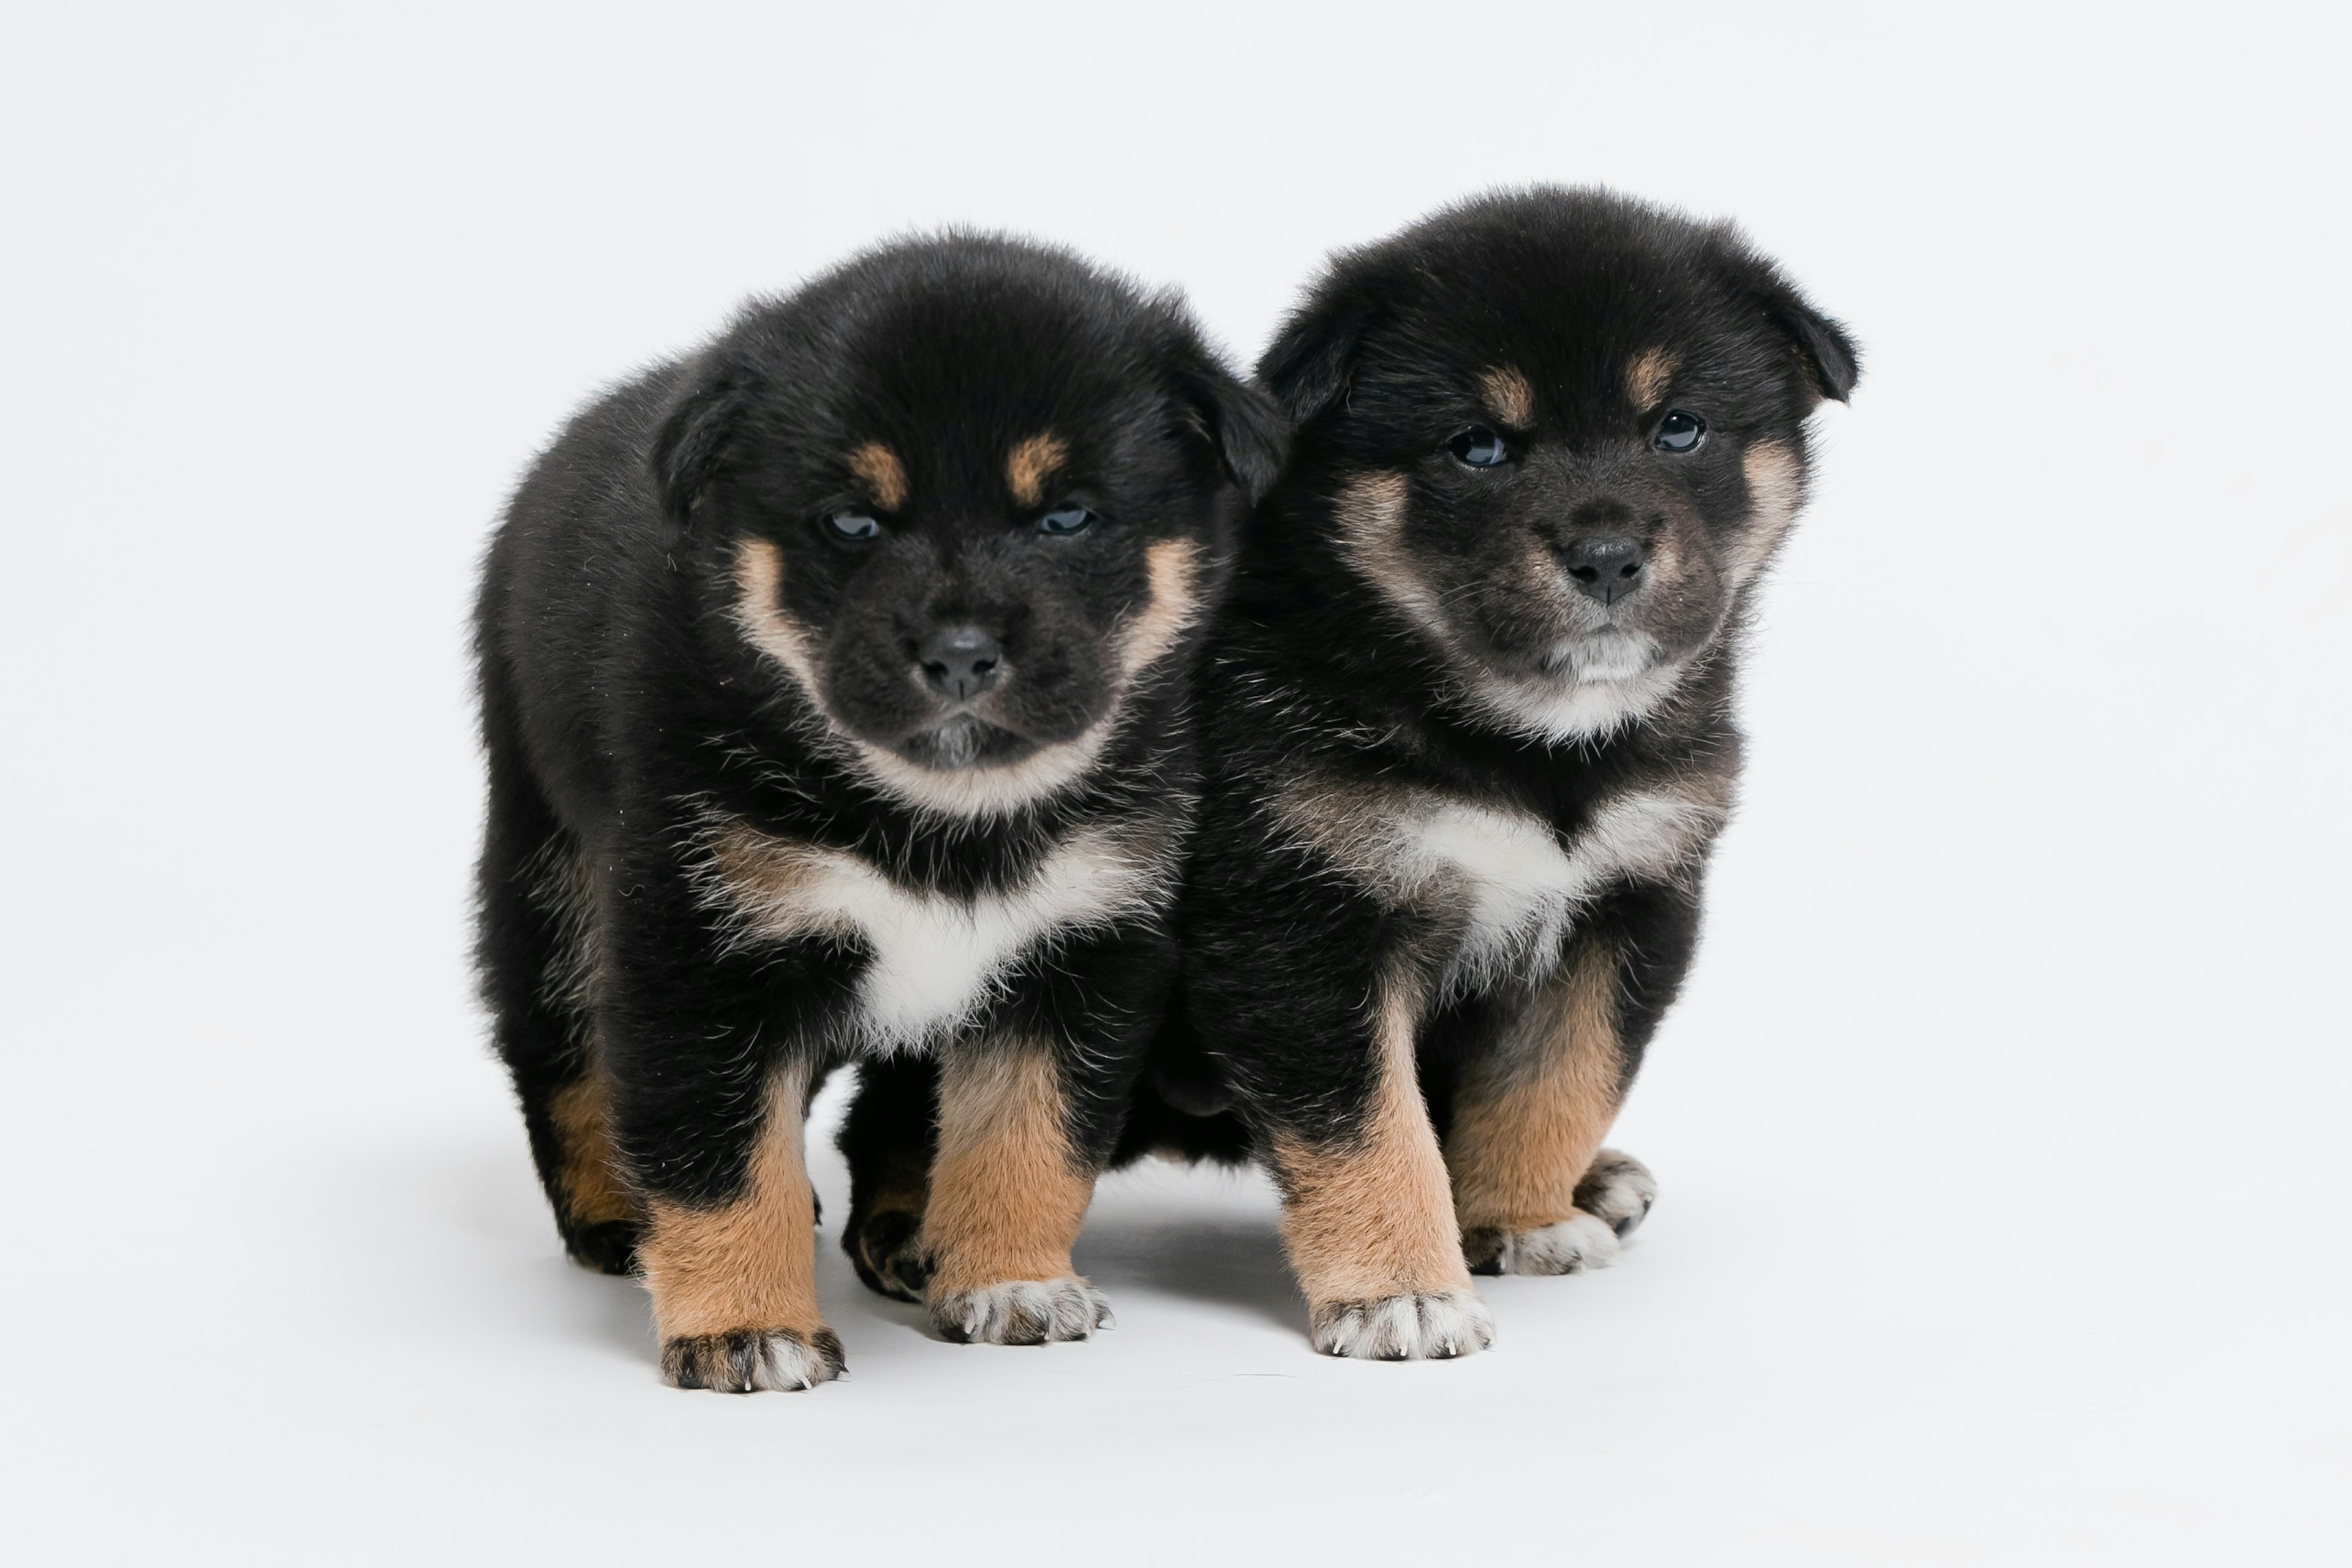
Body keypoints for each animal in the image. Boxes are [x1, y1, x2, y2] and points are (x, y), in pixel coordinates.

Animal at [480, 230, 1289, 1382]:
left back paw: (906, 1236)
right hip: (547, 870)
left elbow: (1030, 1139)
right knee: (559, 1055)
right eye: (854, 522)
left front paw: (1009, 1281)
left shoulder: (1080, 948)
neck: (944, 821)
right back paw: (612, 1218)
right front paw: (744, 1327)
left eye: (1069, 516)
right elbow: (718, 1157)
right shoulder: (699, 953)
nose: (958, 654)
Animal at [1147, 187, 1863, 1363]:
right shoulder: (1301, 923)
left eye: (1678, 426)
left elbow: (1558, 1077)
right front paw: (1400, 1292)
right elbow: (1368, 1128)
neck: (1529, 750)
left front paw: (1520, 1219)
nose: (1608, 556)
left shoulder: (1627, 900)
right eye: (1477, 446)